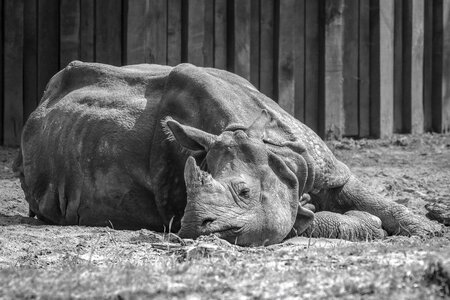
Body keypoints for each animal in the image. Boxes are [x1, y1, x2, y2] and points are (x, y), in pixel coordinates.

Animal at [13, 61, 440, 246]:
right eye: (185, 209)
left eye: (245, 193)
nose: (189, 228)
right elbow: (300, 221)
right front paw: (367, 224)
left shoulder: (316, 162)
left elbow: (363, 192)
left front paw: (428, 231)